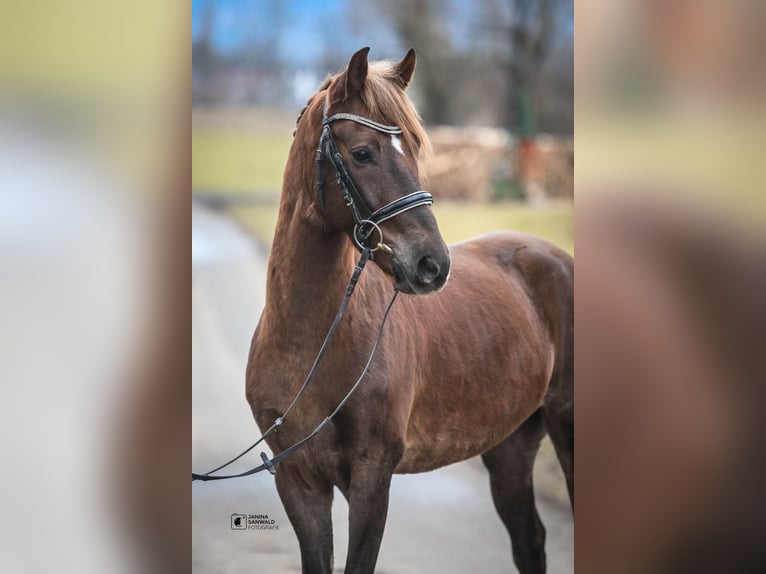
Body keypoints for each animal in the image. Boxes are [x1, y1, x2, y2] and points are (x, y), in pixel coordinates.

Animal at [248, 49, 576, 574]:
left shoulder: (371, 478)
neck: (310, 343)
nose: (432, 264)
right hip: (510, 446)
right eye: (363, 152)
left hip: (566, 428)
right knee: (529, 540)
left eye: (417, 151)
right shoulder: (298, 482)